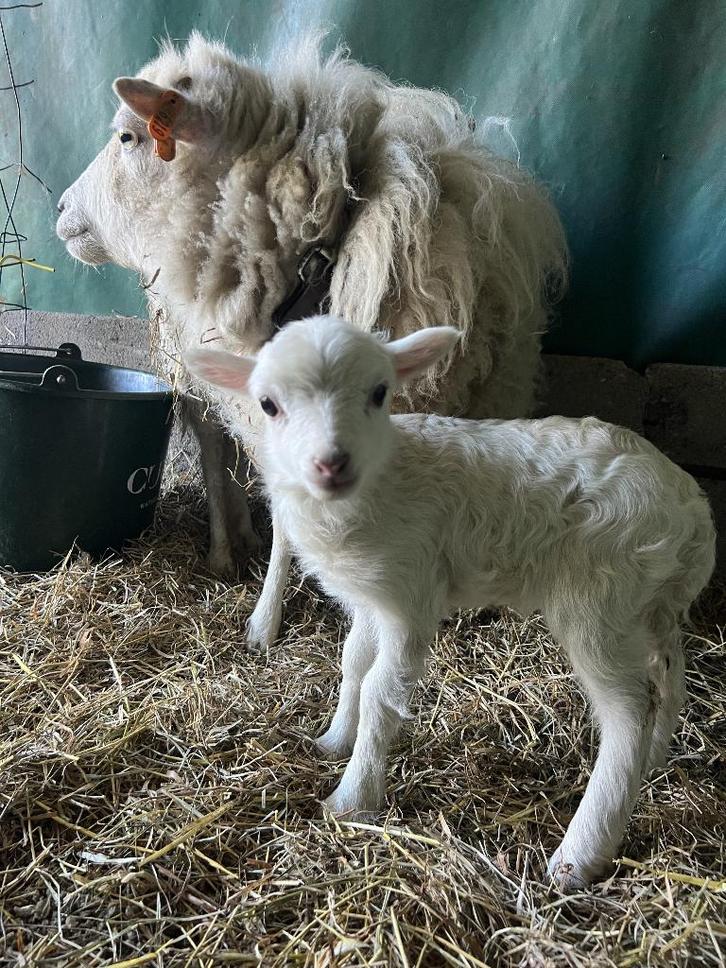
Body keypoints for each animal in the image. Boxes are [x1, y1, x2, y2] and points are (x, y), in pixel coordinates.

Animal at [185, 314, 716, 889]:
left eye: (379, 393)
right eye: (268, 404)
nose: (331, 463)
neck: (380, 485)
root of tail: (691, 509)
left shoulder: (412, 592)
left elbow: (380, 689)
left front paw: (352, 798)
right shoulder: (375, 595)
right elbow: (353, 663)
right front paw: (334, 739)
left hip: (598, 597)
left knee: (629, 712)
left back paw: (579, 855)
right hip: (650, 601)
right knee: (668, 674)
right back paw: (655, 760)